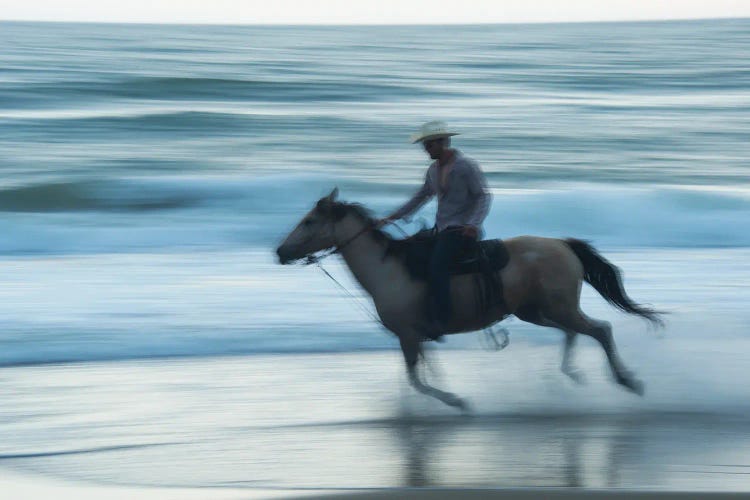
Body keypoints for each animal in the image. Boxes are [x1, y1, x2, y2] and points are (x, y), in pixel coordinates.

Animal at [276, 188, 664, 410]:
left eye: (309, 221)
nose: (280, 252)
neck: (387, 270)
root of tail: (563, 244)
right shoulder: (416, 337)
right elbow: (422, 374)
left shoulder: (408, 335)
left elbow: (418, 379)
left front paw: (456, 400)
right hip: (536, 311)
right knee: (574, 333)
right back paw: (574, 375)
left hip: (561, 308)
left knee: (600, 330)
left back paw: (627, 381)